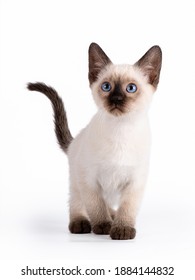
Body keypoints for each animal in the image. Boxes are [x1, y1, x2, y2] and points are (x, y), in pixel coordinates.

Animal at [27, 42, 161, 240]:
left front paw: (122, 229)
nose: (116, 99)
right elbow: (96, 206)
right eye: (106, 87)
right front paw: (104, 226)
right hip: (76, 181)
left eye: (131, 88)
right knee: (77, 203)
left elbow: (127, 208)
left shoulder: (135, 182)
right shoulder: (89, 179)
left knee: (110, 206)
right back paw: (81, 223)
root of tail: (74, 142)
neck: (120, 130)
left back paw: (113, 216)